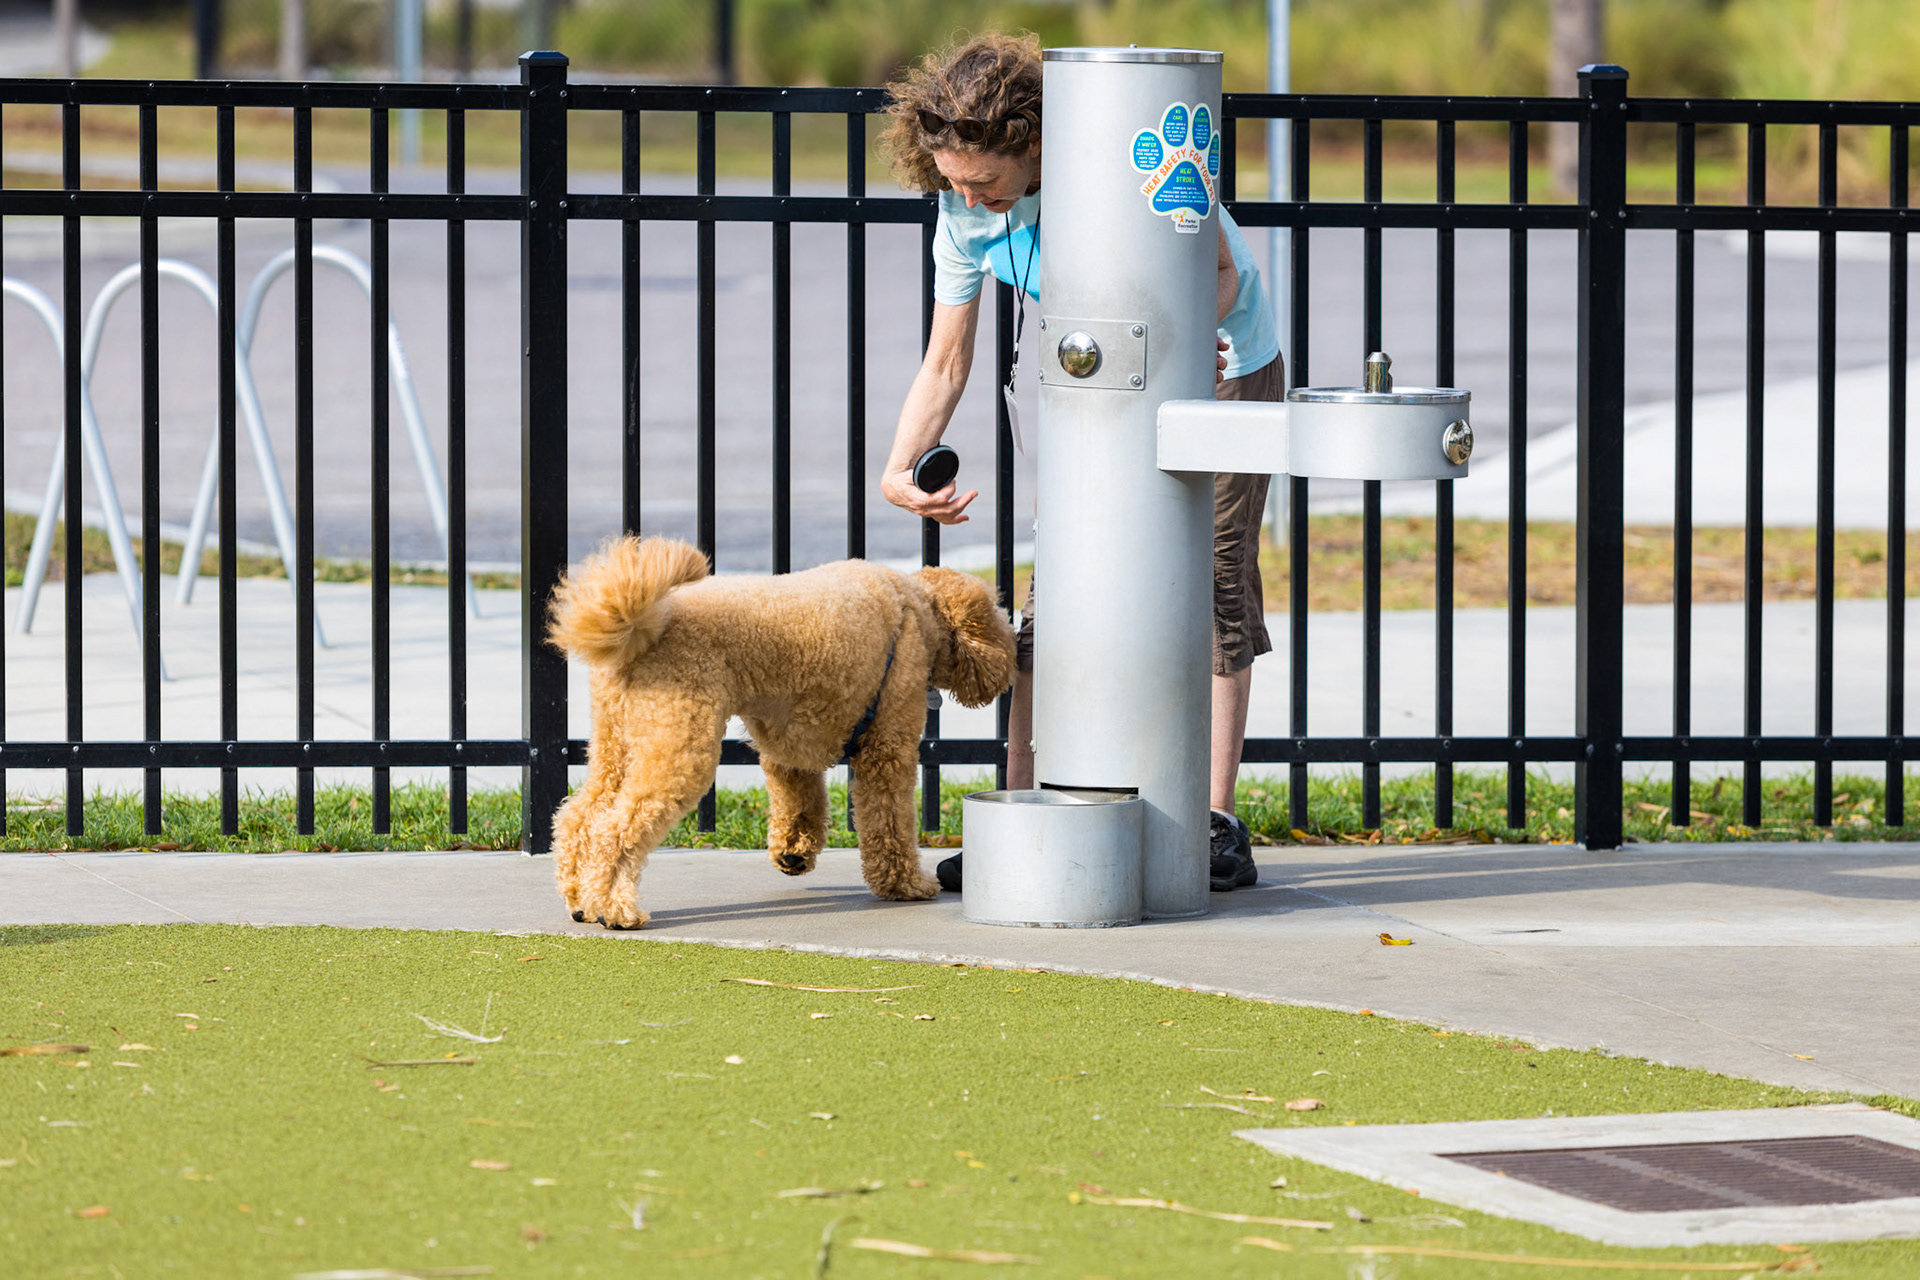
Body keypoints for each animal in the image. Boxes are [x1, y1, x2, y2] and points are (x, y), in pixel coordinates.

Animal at [545, 535, 1017, 929]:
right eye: (997, 620)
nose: (1013, 664)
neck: (915, 608)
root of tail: (640, 624)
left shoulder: (788, 746)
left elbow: (800, 802)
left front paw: (793, 852)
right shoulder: (888, 749)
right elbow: (891, 823)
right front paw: (906, 885)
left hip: (617, 741)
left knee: (580, 816)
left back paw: (580, 898)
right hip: (679, 744)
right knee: (614, 827)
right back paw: (614, 909)